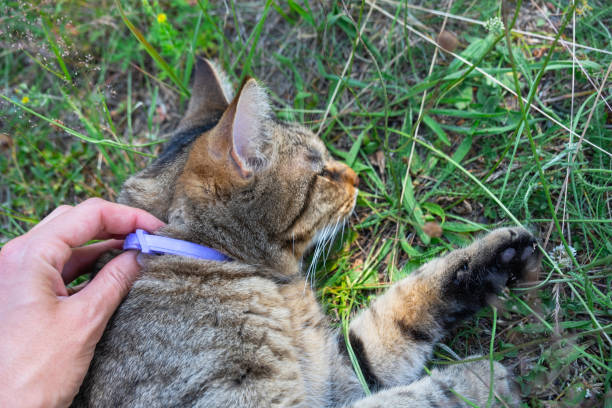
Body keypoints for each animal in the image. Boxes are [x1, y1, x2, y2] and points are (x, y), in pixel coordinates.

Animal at [70, 57, 540, 408]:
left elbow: (400, 310)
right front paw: (480, 381)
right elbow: (411, 398)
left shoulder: (335, 367)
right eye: (321, 172)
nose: (355, 176)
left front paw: (490, 262)